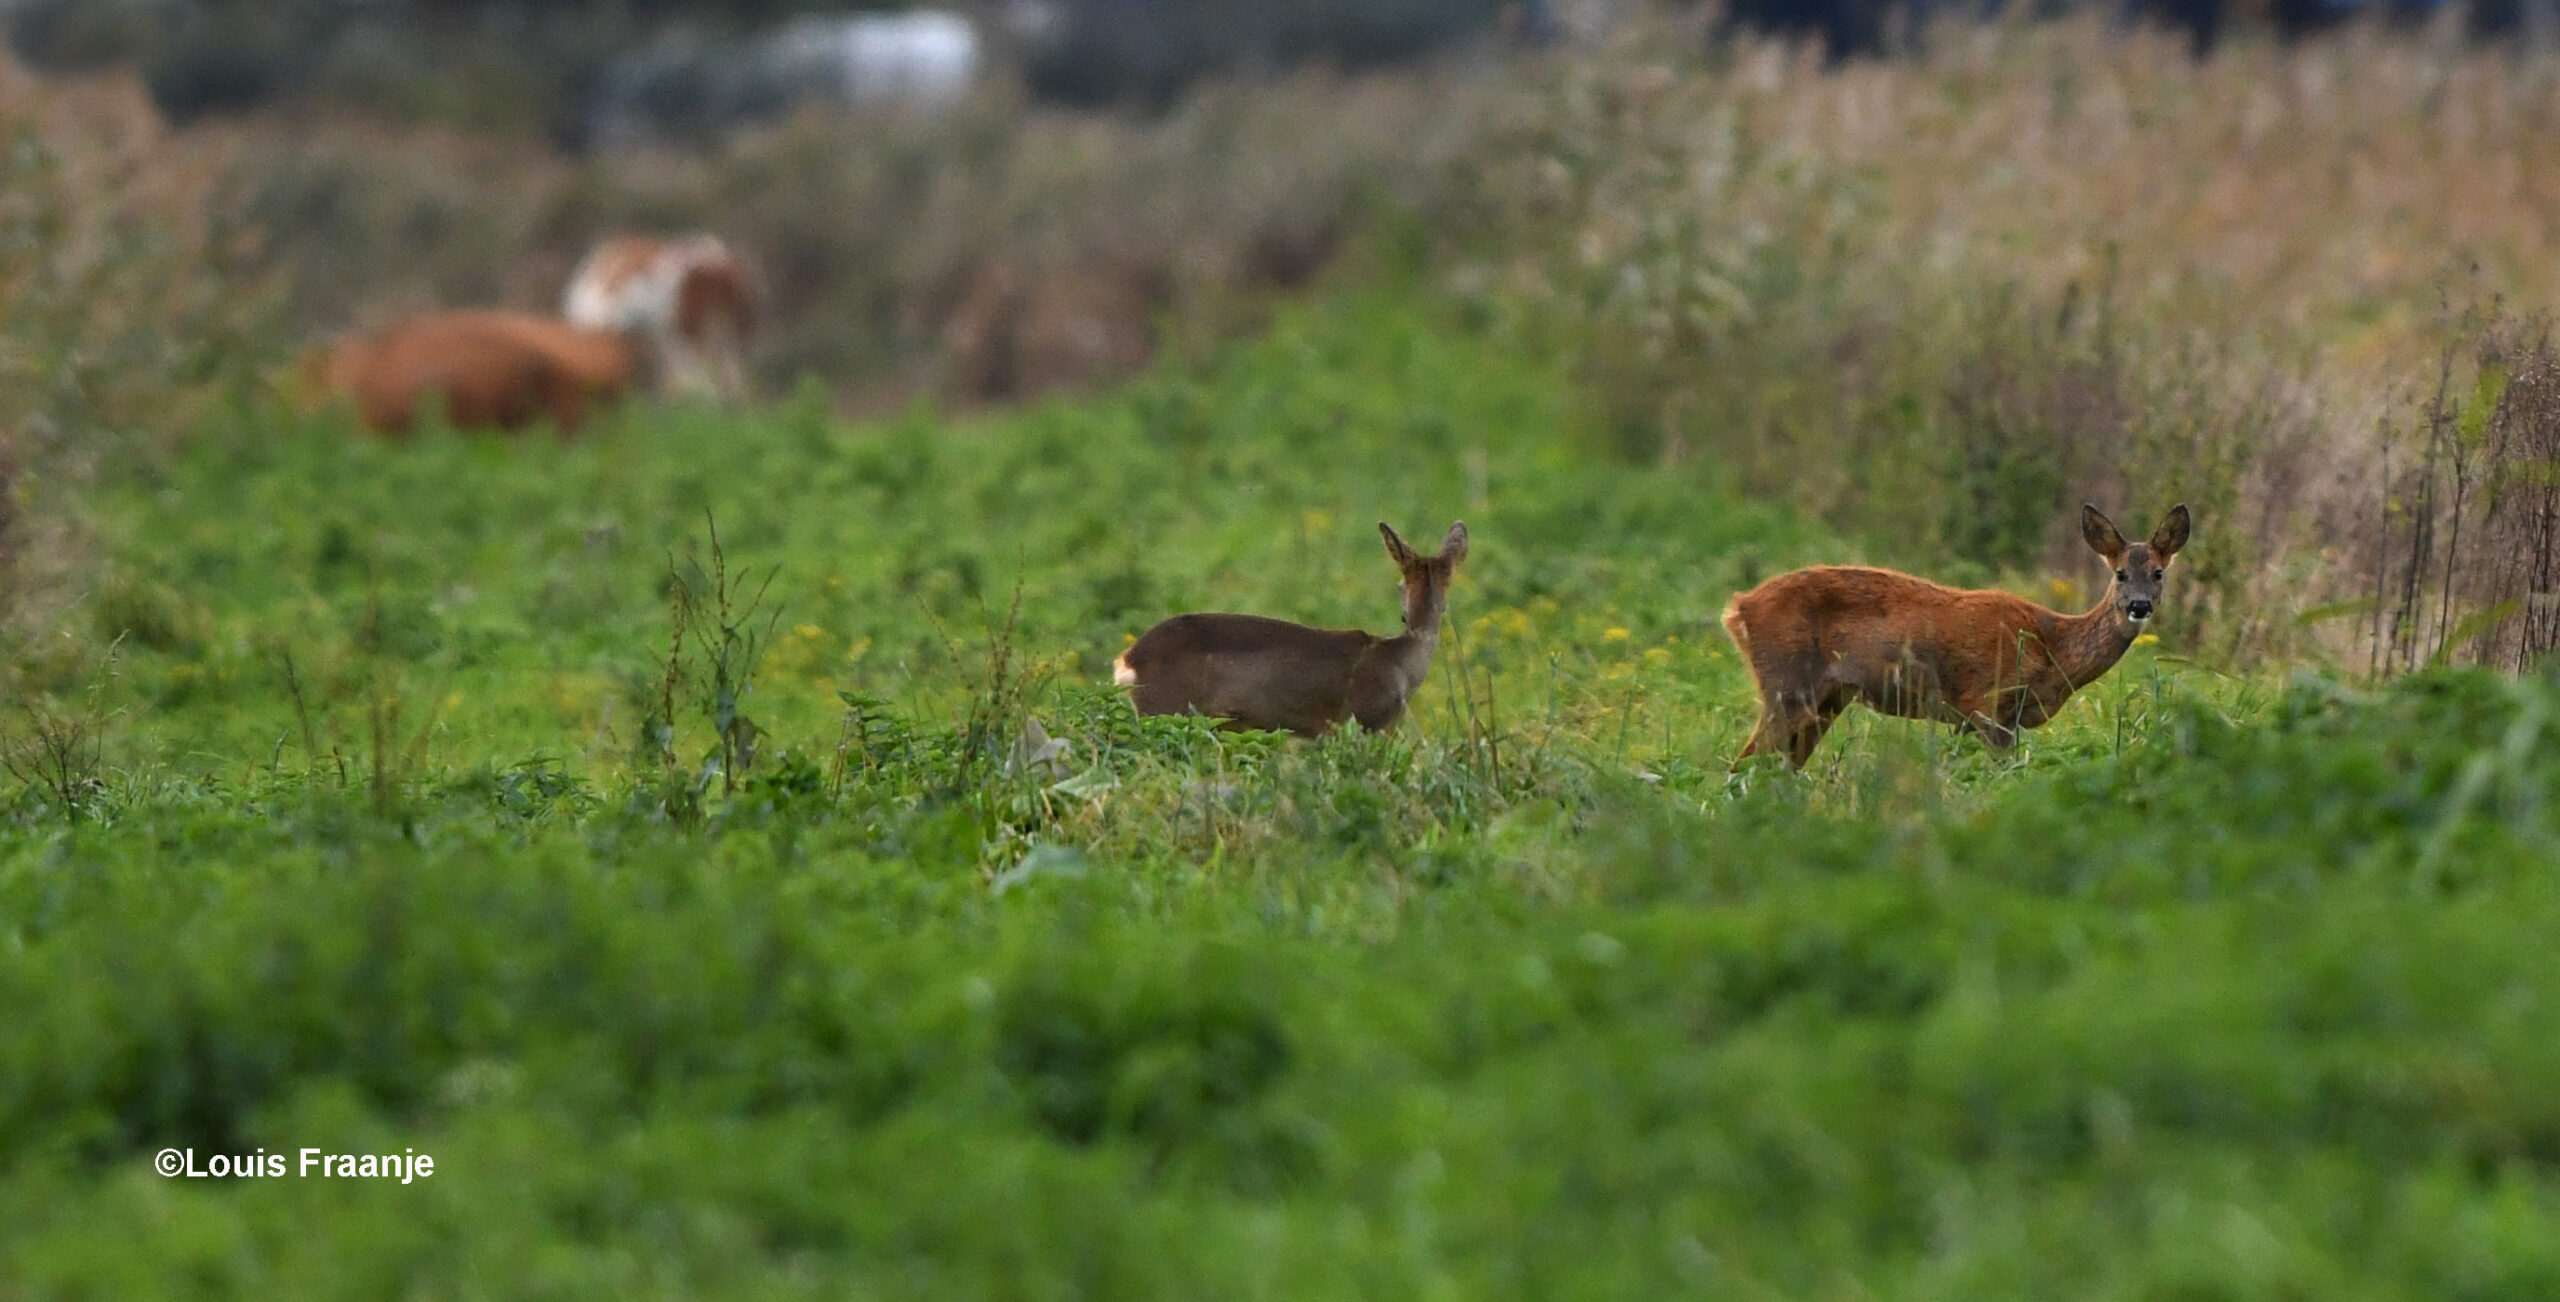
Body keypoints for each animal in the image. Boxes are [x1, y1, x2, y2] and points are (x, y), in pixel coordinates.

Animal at [1710, 501, 2191, 767]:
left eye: (2158, 572)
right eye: (2121, 573)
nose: (2139, 606)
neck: (2054, 648)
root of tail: (1738, 608)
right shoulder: (1986, 704)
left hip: (1826, 700)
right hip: (1788, 685)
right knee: (1743, 766)